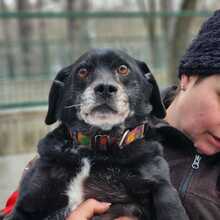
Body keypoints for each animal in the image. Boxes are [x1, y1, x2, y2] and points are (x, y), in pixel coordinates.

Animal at [7, 48, 189, 220]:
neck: (98, 146)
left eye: (123, 69)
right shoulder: (27, 203)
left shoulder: (159, 183)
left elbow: (169, 202)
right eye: (82, 71)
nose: (105, 88)